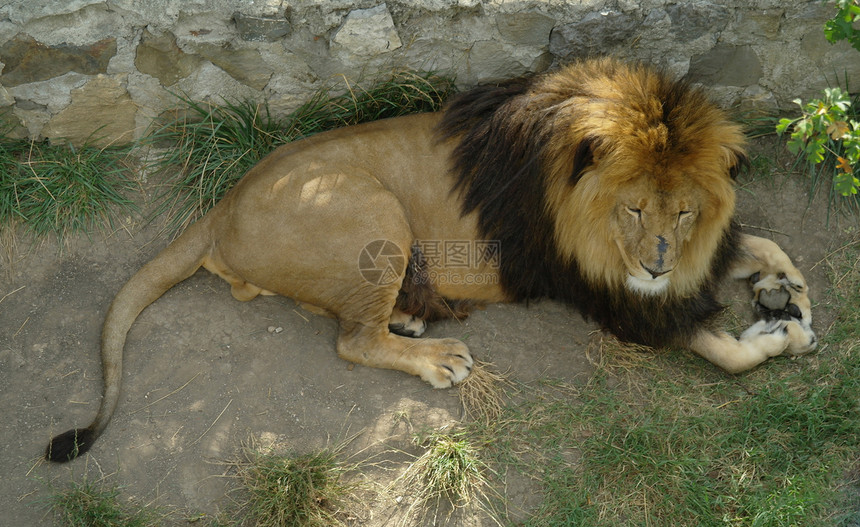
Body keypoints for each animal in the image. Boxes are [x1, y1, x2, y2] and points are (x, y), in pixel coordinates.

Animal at [47, 57, 820, 462]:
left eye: (683, 210)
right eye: (634, 209)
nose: (657, 265)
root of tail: (219, 207)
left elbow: (755, 246)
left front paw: (785, 288)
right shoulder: (608, 290)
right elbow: (725, 351)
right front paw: (779, 331)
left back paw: (413, 317)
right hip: (375, 211)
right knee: (352, 340)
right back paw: (436, 353)